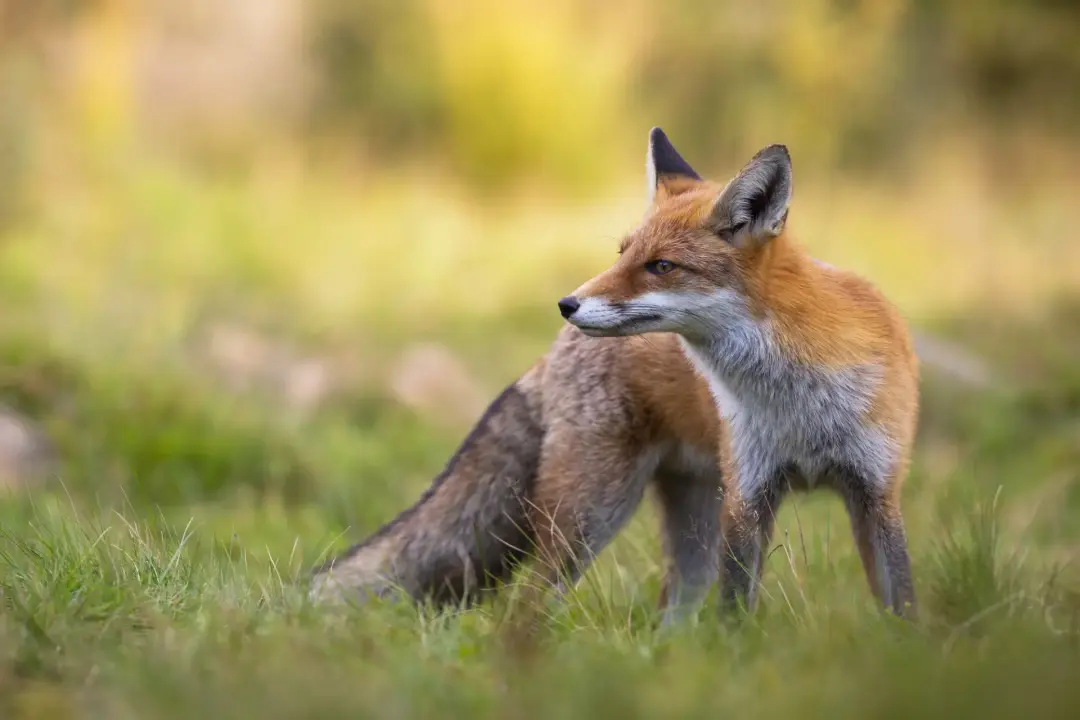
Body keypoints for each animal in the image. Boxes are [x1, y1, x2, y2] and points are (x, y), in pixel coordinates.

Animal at [310, 128, 919, 621]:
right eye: (623, 254)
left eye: (661, 266)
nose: (567, 303)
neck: (800, 403)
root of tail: (548, 356)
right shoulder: (749, 496)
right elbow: (733, 615)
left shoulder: (876, 491)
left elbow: (900, 600)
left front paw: (907, 655)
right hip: (593, 512)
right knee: (530, 603)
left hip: (690, 524)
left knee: (671, 609)